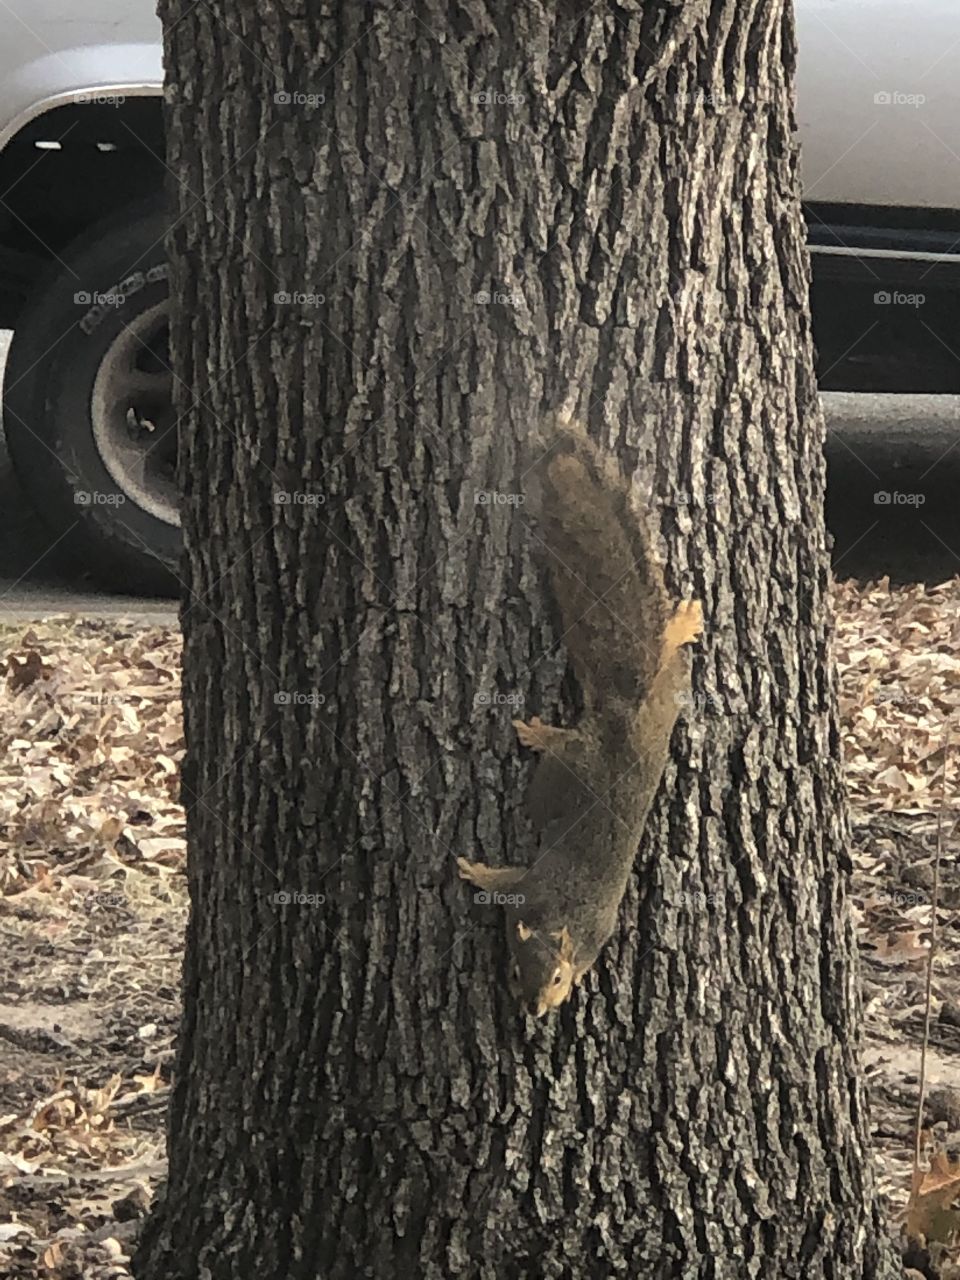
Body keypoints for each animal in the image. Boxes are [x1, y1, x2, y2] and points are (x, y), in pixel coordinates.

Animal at [458, 421, 703, 1018]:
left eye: (558, 978)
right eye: (515, 972)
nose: (535, 1010)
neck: (559, 918)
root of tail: (624, 718)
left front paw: (474, 871)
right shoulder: (529, 899)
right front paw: (476, 871)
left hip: (579, 760)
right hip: (657, 711)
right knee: (663, 665)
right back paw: (680, 627)